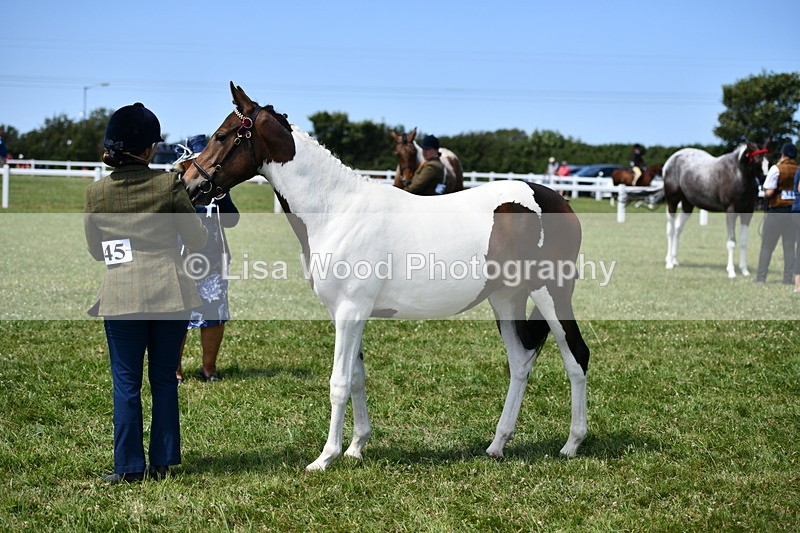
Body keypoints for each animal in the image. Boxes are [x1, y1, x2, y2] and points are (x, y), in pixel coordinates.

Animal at [182, 82, 590, 471]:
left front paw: (325, 457)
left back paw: (571, 444)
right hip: (506, 299)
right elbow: (357, 377)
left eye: (222, 135)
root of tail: (559, 200)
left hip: (550, 293)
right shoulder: (348, 314)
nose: (187, 182)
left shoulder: (350, 312)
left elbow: (339, 382)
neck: (337, 211)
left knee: (576, 356)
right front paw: (355, 449)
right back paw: (497, 445)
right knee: (520, 363)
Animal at [663, 142, 769, 278]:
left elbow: (744, 241)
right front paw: (731, 271)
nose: (765, 181)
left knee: (678, 228)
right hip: (672, 202)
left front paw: (745, 271)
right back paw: (669, 263)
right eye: (756, 160)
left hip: (687, 205)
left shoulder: (747, 212)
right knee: (670, 230)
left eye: (768, 160)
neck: (737, 174)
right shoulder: (731, 211)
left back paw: (674, 259)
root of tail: (669, 162)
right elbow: (731, 242)